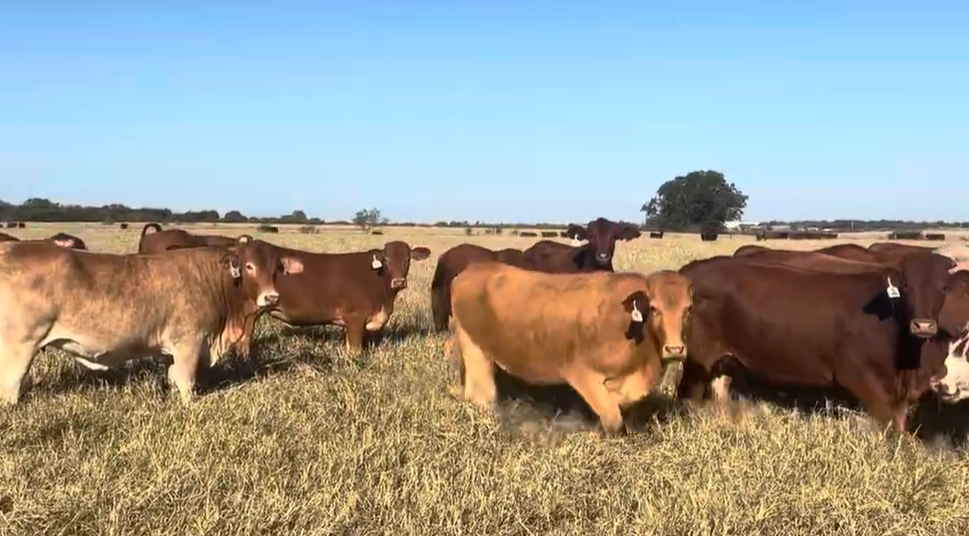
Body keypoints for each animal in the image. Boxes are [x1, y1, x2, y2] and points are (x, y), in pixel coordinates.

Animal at [0, 238, 304, 405]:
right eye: (249, 266)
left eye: (276, 269)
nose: (271, 297)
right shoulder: (188, 343)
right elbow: (185, 380)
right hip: (20, 346)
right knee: (10, 385)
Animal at [445, 261, 693, 437]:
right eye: (654, 308)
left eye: (688, 309)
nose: (674, 349)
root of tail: (473, 269)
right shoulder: (582, 374)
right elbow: (613, 422)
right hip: (473, 348)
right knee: (481, 392)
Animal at [676, 252, 965, 433]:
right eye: (906, 287)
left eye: (943, 288)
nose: (923, 325)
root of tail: (690, 271)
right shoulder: (865, 382)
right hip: (697, 358)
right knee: (688, 396)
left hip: (723, 361)